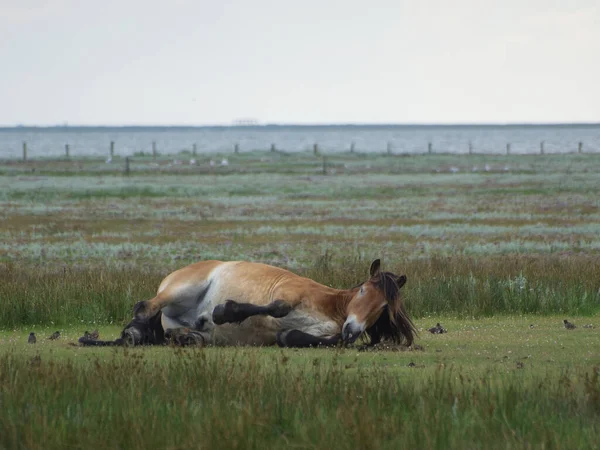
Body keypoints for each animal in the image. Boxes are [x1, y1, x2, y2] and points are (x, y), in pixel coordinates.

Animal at [81, 258, 418, 350]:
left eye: (382, 308)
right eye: (362, 291)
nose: (353, 329)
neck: (329, 305)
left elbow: (291, 335)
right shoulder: (287, 292)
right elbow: (277, 308)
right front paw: (223, 311)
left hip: (178, 324)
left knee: (170, 332)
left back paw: (186, 336)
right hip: (179, 290)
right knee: (145, 307)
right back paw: (130, 335)